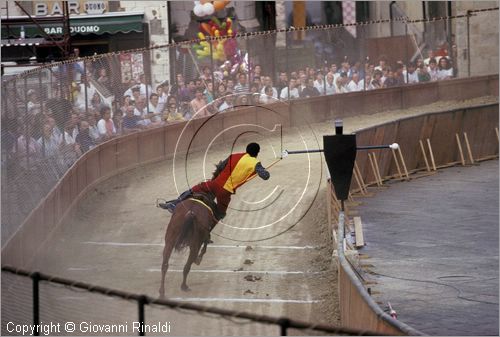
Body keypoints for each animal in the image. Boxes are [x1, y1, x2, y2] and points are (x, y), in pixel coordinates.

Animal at [159, 161, 224, 296]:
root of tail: (191, 213)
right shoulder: (205, 235)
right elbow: (206, 244)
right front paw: (199, 259)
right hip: (194, 245)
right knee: (186, 266)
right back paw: (184, 286)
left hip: (169, 241)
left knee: (165, 265)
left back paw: (162, 291)